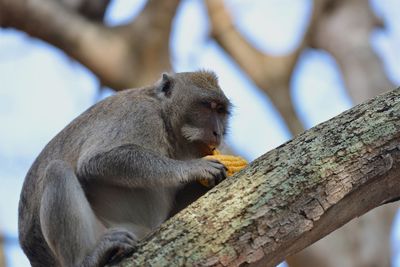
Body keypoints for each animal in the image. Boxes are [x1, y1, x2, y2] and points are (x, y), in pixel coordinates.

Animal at [18, 70, 231, 266]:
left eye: (221, 111)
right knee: (57, 170)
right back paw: (87, 259)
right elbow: (95, 161)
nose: (218, 132)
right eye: (208, 107)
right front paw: (194, 168)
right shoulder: (141, 115)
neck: (164, 114)